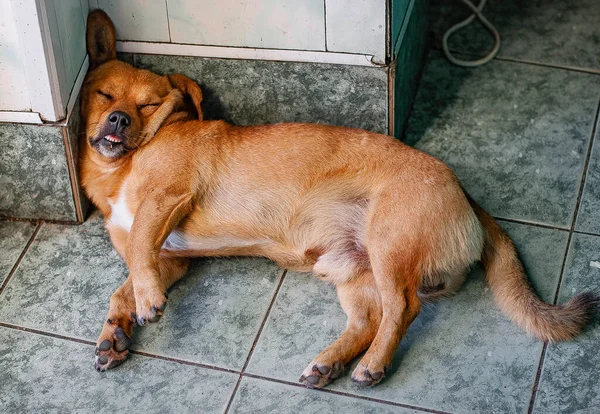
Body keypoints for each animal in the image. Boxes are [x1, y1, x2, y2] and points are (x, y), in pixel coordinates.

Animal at [81, 11, 596, 388]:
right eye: (103, 94)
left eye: (147, 105)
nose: (118, 120)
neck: (123, 166)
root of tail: (466, 195)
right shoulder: (171, 257)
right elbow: (122, 284)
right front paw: (115, 331)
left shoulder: (166, 199)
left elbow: (140, 253)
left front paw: (146, 301)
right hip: (350, 270)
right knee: (370, 319)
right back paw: (331, 361)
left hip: (389, 245)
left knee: (402, 308)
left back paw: (373, 364)